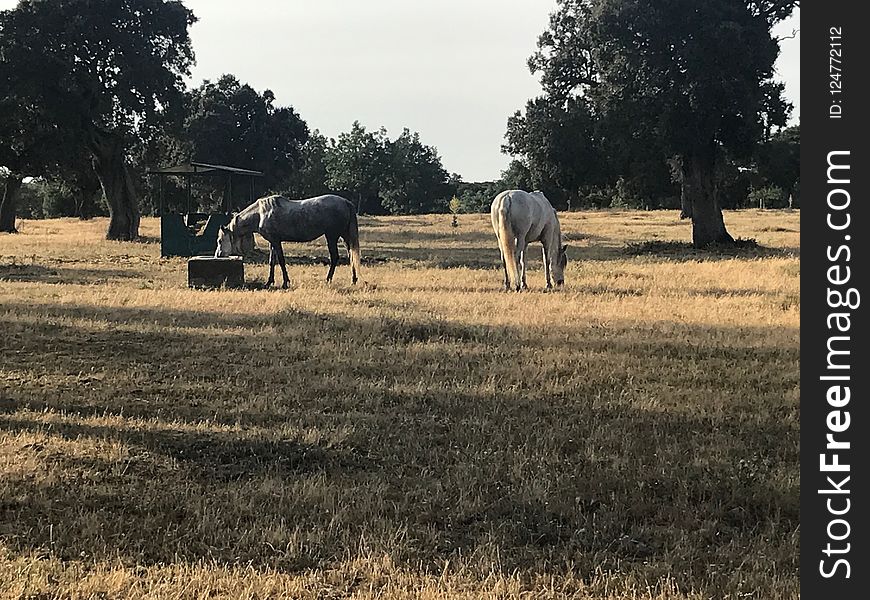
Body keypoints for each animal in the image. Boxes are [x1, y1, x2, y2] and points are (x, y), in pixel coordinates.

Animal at [216, 192, 362, 286]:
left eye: (219, 240)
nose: (218, 255)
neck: (261, 214)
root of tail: (346, 202)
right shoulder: (272, 242)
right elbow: (272, 261)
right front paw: (269, 282)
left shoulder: (276, 241)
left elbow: (281, 261)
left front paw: (285, 283)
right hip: (344, 236)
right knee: (351, 255)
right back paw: (353, 280)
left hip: (331, 236)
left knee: (335, 257)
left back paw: (328, 280)